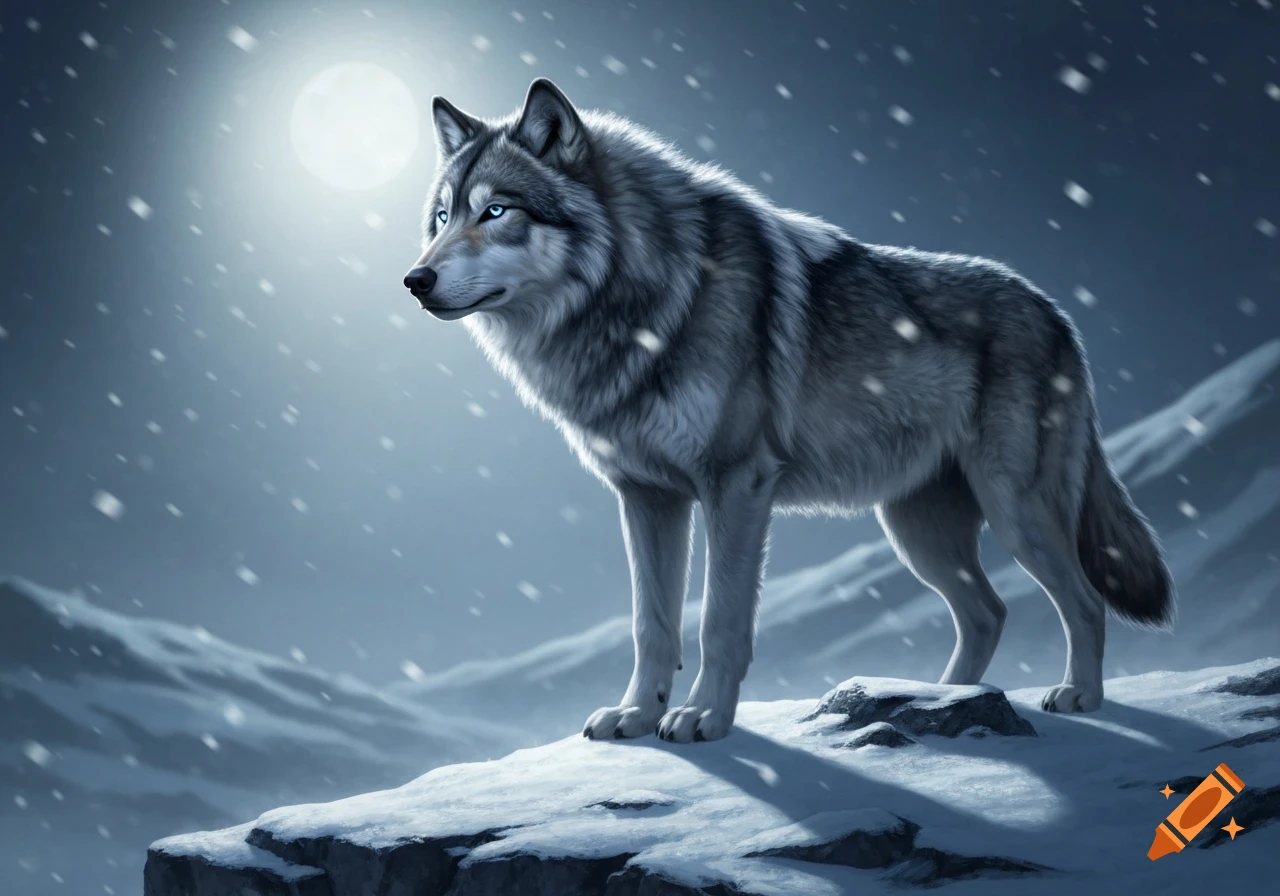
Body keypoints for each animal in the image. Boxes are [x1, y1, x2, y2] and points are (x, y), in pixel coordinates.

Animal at [403, 79, 1175, 743]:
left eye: (496, 211)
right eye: (441, 217)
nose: (415, 279)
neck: (640, 300)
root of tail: (1058, 314)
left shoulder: (738, 486)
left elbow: (718, 621)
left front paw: (702, 719)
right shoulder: (646, 497)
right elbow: (651, 625)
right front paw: (636, 716)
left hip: (1015, 511)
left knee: (1082, 601)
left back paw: (1078, 697)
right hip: (918, 531)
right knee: (988, 612)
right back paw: (942, 697)